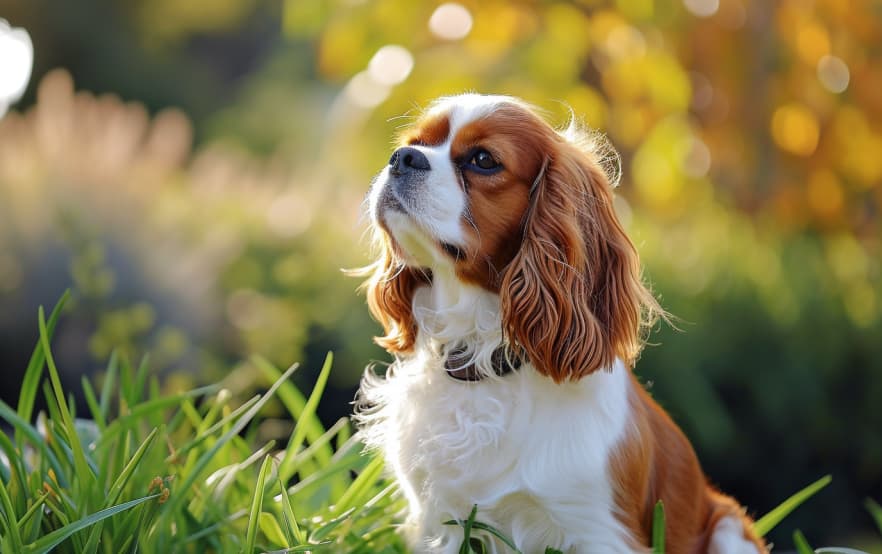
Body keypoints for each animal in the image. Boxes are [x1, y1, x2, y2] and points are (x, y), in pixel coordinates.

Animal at [354, 95, 760, 552]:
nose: (402, 158)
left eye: (483, 160)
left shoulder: (596, 532)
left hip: (729, 528)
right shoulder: (439, 525)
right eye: (416, 143)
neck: (482, 356)